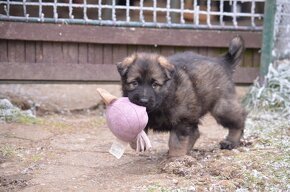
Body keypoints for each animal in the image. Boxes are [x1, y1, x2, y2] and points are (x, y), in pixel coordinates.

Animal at [116, 36, 246, 158]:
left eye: (155, 84)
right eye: (134, 83)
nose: (143, 101)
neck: (162, 101)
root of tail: (222, 61)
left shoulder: (182, 120)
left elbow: (176, 141)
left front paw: (176, 158)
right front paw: (136, 143)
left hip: (221, 108)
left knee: (239, 120)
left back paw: (231, 142)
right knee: (195, 132)